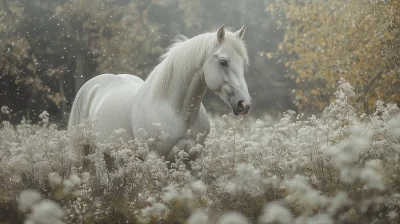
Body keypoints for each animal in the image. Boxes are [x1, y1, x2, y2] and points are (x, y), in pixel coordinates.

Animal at [67, 24, 252, 168]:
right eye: (223, 62)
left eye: (244, 64)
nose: (244, 104)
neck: (174, 110)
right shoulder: (154, 159)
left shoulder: (193, 160)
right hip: (82, 152)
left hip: (111, 154)